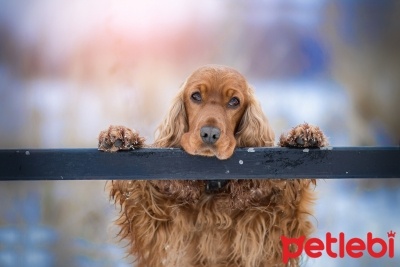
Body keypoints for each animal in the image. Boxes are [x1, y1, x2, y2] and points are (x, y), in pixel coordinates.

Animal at [98, 65, 326, 267]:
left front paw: (301, 135)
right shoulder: (156, 227)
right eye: (196, 96)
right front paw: (119, 136)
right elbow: (136, 189)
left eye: (234, 101)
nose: (209, 134)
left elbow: (290, 198)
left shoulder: (272, 227)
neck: (212, 188)